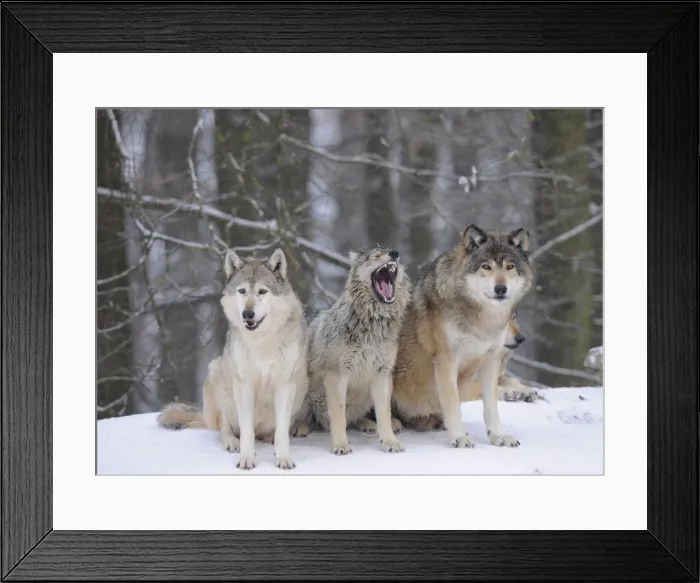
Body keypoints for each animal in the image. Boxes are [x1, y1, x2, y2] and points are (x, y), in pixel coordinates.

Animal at [157, 248, 308, 471]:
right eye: (242, 291)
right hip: (217, 374)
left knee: (271, 431)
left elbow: (281, 432)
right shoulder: (244, 385)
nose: (248, 314)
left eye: (262, 291)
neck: (262, 342)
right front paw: (246, 459)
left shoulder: (284, 384)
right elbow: (245, 431)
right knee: (224, 427)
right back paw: (231, 442)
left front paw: (283, 459)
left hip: (302, 385)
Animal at [298, 247, 411, 455]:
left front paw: (390, 442)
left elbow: (384, 414)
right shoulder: (337, 376)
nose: (394, 252)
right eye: (375, 256)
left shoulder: (382, 374)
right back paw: (299, 427)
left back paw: (371, 424)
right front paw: (341, 445)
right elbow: (339, 417)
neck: (373, 325)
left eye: (394, 254)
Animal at [391, 224, 534, 448]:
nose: (500, 288)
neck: (482, 321)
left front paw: (498, 436)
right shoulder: (446, 360)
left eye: (510, 266)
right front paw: (459, 437)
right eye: (486, 266)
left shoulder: (491, 361)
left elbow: (492, 406)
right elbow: (453, 403)